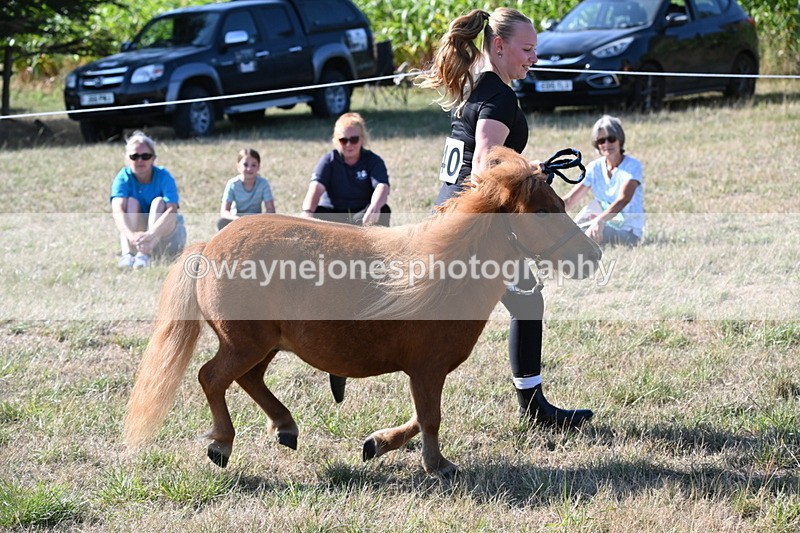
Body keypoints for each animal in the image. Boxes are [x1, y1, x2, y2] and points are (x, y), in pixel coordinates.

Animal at [124, 146, 602, 477]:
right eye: (547, 212)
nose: (592, 255)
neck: (446, 266)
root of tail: (210, 247)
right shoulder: (427, 368)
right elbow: (429, 417)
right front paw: (438, 464)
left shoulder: (425, 371)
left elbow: (419, 417)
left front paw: (378, 443)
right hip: (244, 343)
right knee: (213, 378)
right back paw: (223, 443)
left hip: (262, 344)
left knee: (248, 379)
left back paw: (284, 425)